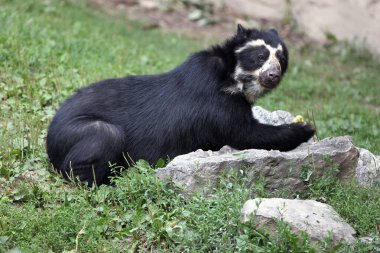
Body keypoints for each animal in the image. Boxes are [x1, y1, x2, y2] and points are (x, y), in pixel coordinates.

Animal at [46, 24, 314, 185]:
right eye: (260, 56)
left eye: (282, 59)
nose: (273, 75)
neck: (231, 77)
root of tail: (50, 138)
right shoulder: (216, 103)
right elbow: (246, 133)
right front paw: (304, 129)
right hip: (80, 133)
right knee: (102, 139)